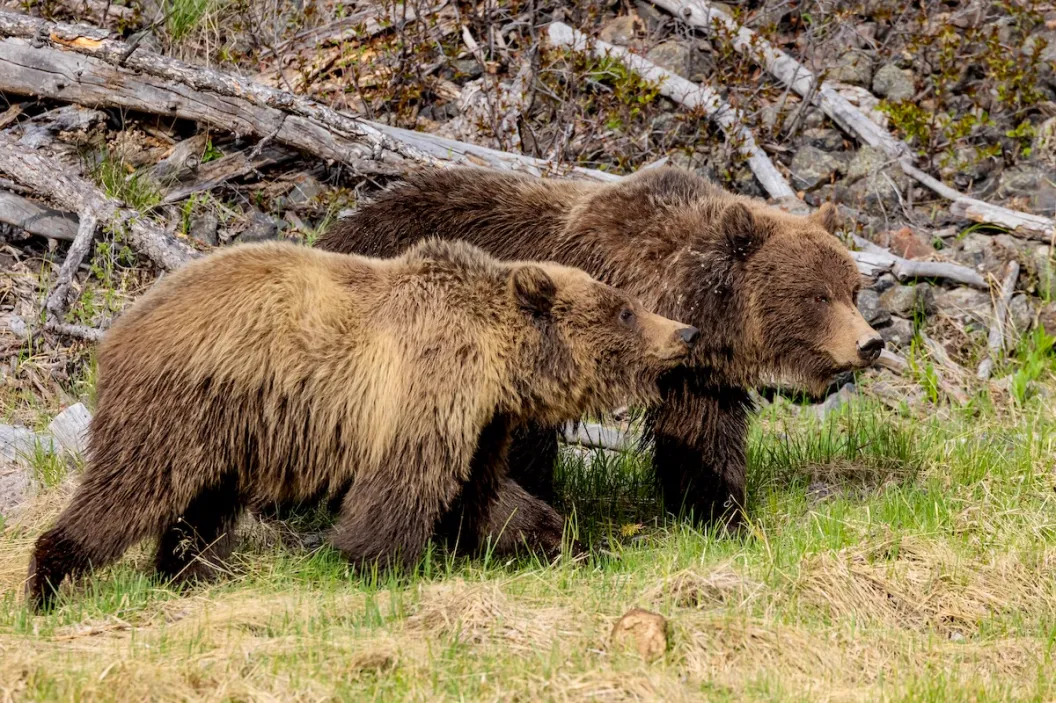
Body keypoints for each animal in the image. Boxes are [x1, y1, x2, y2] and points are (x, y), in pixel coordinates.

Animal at [27, 238, 698, 611]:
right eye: (625, 309)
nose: (686, 332)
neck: (495, 361)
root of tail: (116, 329)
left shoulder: (482, 422)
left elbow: (483, 495)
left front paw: (568, 541)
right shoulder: (423, 391)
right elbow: (404, 485)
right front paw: (376, 562)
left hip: (229, 427)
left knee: (203, 507)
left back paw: (186, 572)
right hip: (178, 405)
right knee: (131, 490)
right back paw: (49, 579)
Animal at [318, 166, 884, 525]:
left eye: (853, 289)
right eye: (817, 295)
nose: (870, 343)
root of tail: (339, 229)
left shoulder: (695, 373)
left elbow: (702, 435)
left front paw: (718, 511)